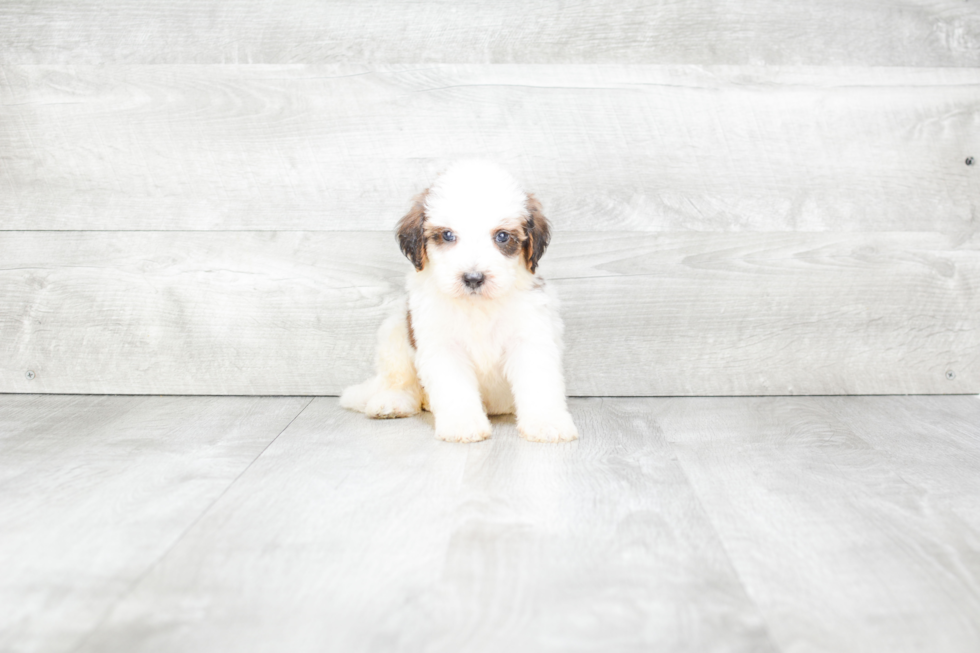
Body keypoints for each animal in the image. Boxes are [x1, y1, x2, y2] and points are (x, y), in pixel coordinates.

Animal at [340, 159, 580, 444]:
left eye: (502, 236)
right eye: (447, 235)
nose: (473, 278)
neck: (477, 305)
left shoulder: (530, 336)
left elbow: (538, 382)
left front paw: (547, 423)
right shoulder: (441, 344)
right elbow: (454, 387)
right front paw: (463, 425)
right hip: (395, 332)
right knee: (401, 381)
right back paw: (392, 402)